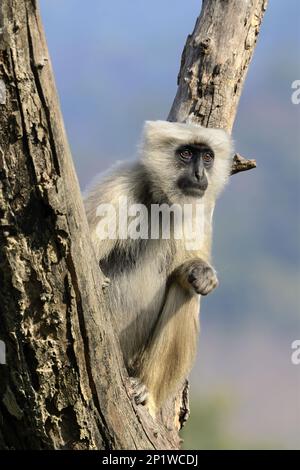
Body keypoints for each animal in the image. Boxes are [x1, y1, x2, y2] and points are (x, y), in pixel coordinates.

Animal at [83, 120, 233, 414]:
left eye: (207, 157)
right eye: (185, 154)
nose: (199, 174)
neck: (161, 200)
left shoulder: (199, 207)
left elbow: (189, 274)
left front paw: (202, 271)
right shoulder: (117, 189)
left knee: (186, 290)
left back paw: (146, 391)